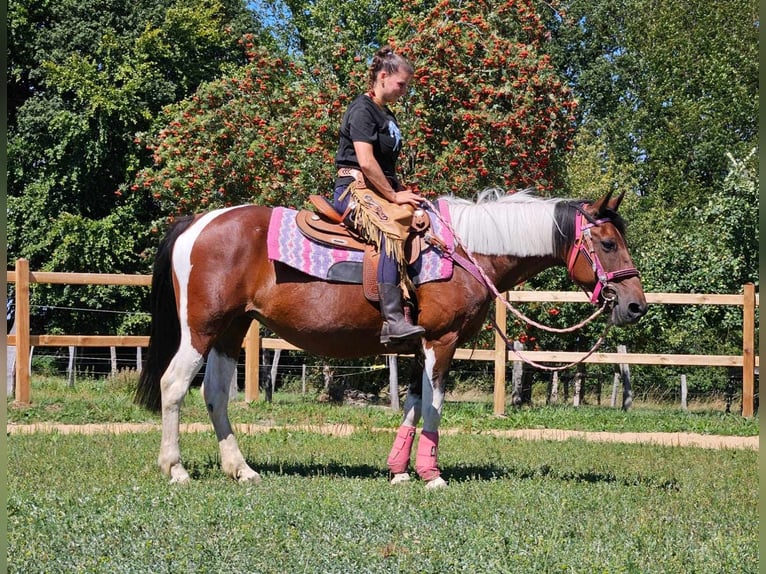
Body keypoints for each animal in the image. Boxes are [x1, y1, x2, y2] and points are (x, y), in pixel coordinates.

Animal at [136, 190, 648, 490]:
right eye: (607, 244)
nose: (635, 305)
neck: (466, 253)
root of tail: (197, 223)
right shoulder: (441, 341)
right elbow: (434, 406)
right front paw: (431, 475)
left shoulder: (423, 345)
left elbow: (414, 403)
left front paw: (399, 470)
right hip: (201, 329)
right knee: (173, 386)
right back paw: (175, 469)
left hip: (231, 330)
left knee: (215, 394)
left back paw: (240, 468)